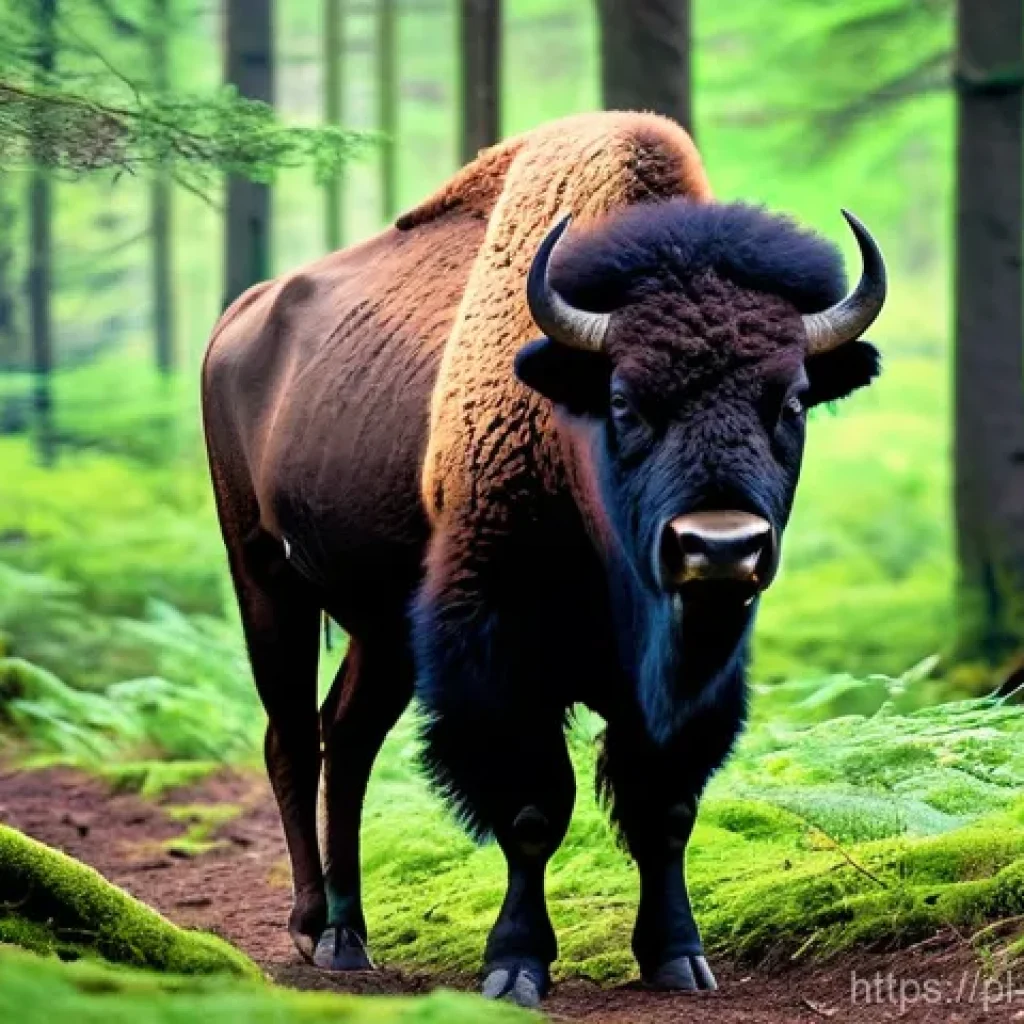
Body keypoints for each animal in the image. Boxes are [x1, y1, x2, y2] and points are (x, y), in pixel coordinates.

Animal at [202, 111, 886, 1007]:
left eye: (795, 400)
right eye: (625, 402)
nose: (720, 547)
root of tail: (236, 323)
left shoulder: (692, 669)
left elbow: (665, 804)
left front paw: (678, 957)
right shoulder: (500, 649)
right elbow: (533, 808)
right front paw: (515, 965)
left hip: (384, 630)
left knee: (345, 742)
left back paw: (351, 936)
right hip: (265, 580)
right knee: (291, 740)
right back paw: (314, 928)